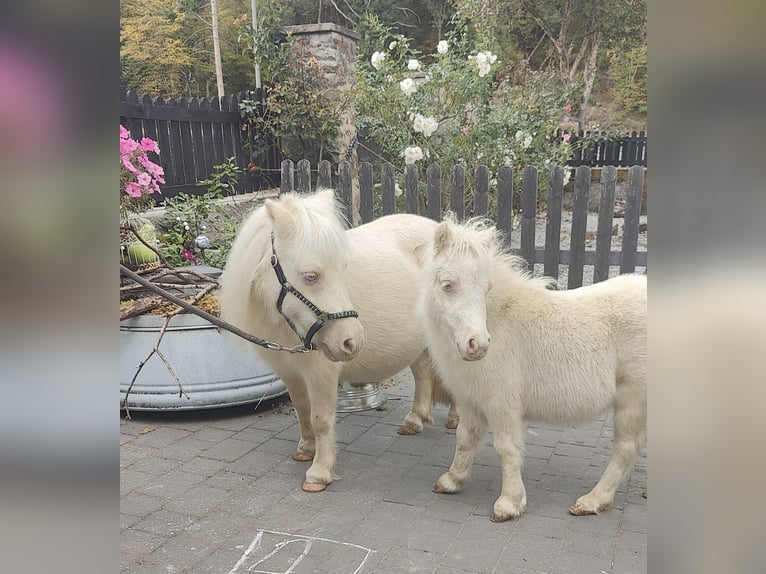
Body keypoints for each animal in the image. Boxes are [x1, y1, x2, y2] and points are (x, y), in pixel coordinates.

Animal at [220, 189, 457, 493]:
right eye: (311, 276)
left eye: (344, 269)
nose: (351, 341)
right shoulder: (289, 371)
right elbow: (301, 409)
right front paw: (305, 450)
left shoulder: (321, 372)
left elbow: (320, 418)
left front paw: (319, 473)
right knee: (423, 372)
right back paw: (414, 420)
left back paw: (455, 419)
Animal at [420, 216, 646, 522]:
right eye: (448, 285)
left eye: (486, 288)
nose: (477, 345)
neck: (499, 319)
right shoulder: (470, 400)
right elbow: (466, 438)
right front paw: (452, 481)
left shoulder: (502, 403)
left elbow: (506, 448)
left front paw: (509, 503)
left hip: (633, 400)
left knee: (625, 449)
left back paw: (592, 501)